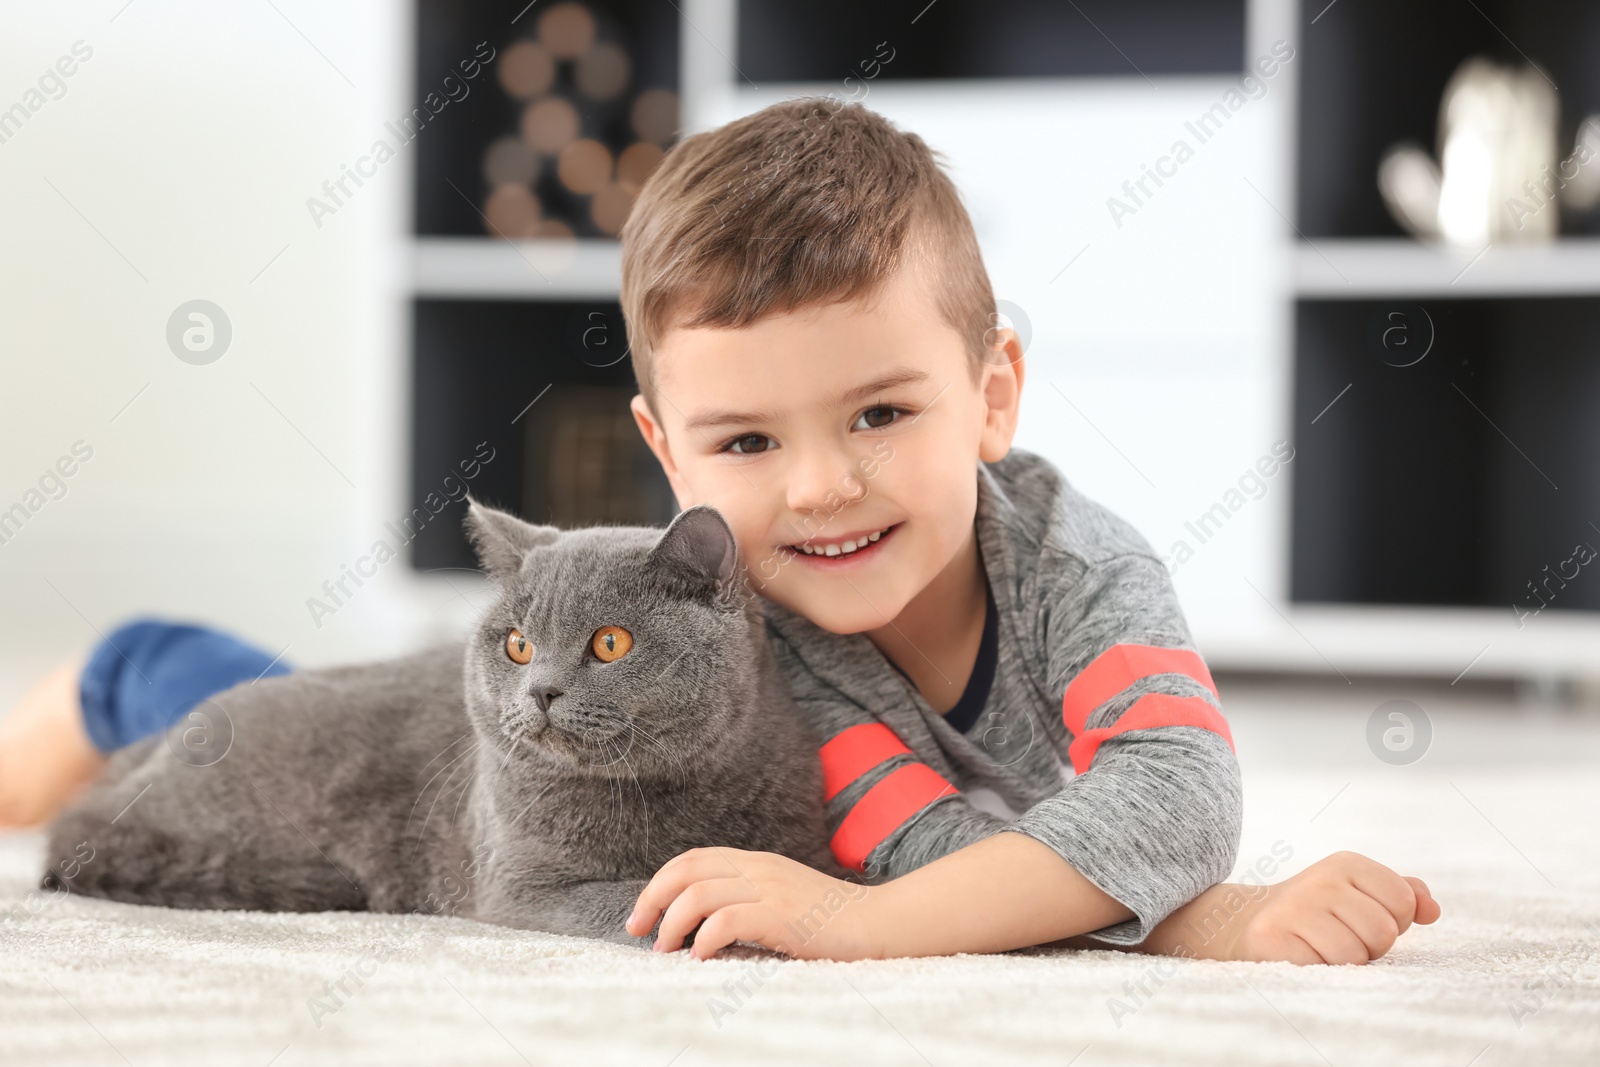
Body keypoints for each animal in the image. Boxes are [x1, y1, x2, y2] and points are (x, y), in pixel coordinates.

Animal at [40, 505, 838, 947]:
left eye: (611, 643)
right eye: (517, 644)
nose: (540, 691)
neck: (663, 793)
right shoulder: (522, 885)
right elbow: (642, 900)